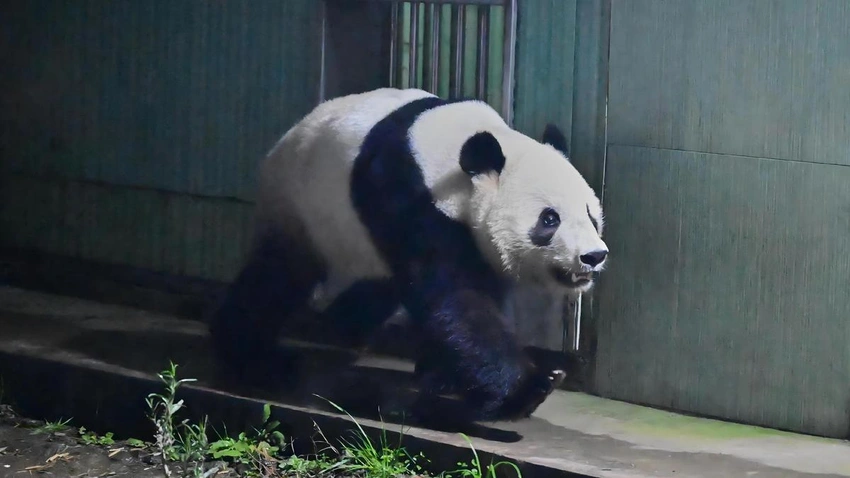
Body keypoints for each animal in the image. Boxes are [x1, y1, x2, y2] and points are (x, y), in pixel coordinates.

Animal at [209, 87, 608, 422]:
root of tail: (284, 140)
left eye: (591, 214)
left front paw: (446, 376)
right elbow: (456, 299)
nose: (593, 256)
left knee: (377, 287)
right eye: (550, 219)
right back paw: (251, 355)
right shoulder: (405, 195)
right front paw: (529, 387)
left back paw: (340, 328)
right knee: (277, 278)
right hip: (300, 206)